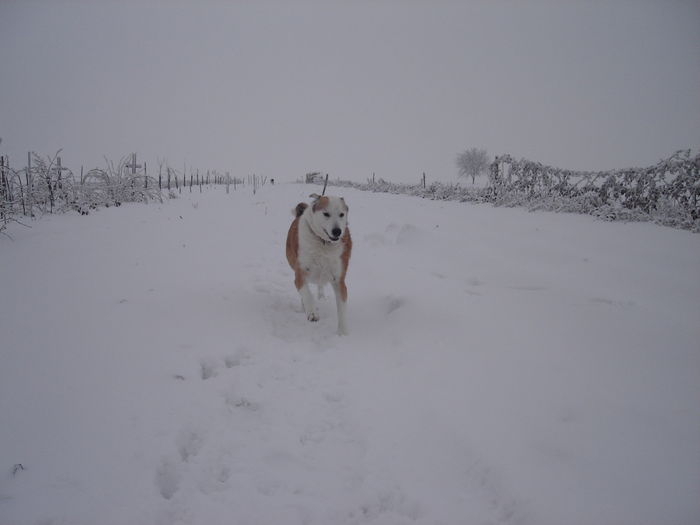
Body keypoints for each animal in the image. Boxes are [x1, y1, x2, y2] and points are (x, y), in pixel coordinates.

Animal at [284, 193, 350, 336]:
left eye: (341, 214)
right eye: (326, 214)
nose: (337, 231)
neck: (323, 243)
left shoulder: (339, 280)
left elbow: (342, 309)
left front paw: (342, 333)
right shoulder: (300, 273)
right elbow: (306, 293)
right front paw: (312, 312)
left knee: (320, 284)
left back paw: (321, 295)